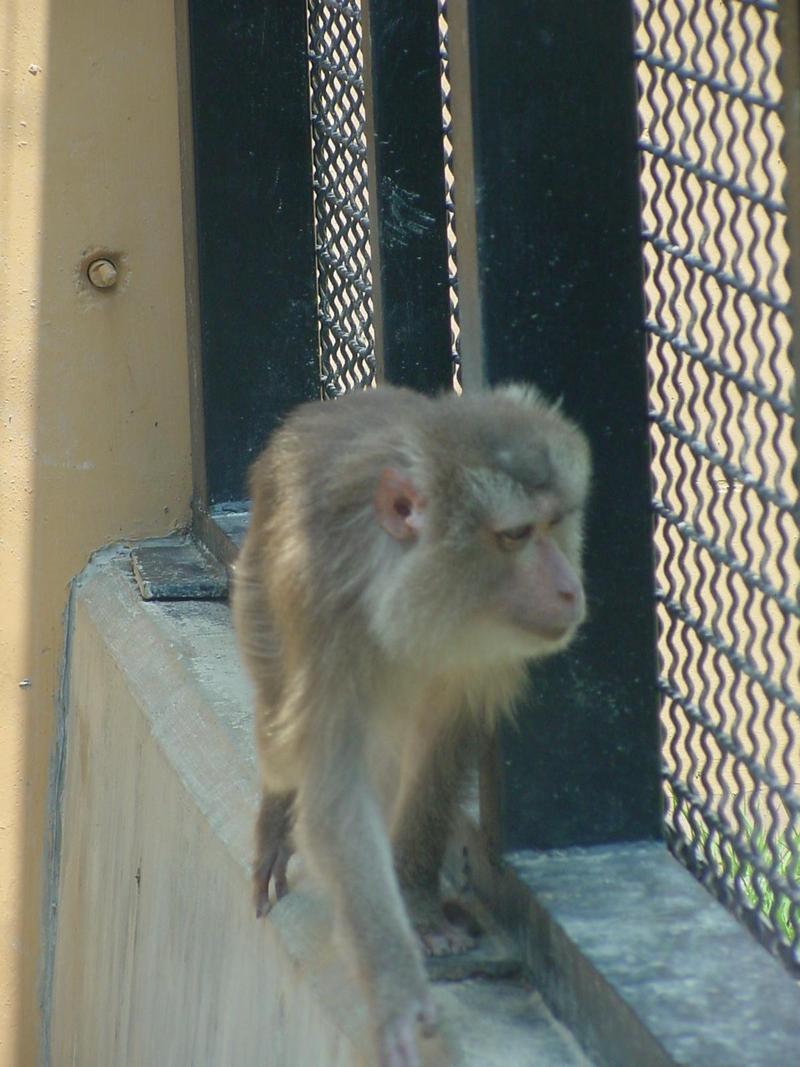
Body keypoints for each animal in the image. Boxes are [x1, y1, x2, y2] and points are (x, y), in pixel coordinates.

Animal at [231, 386, 588, 1067]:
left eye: (556, 523)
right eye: (516, 535)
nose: (569, 588)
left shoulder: (481, 654)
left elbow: (444, 745)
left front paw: (418, 908)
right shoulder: (334, 624)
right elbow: (337, 795)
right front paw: (394, 985)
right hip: (258, 595)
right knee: (280, 731)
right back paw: (276, 811)